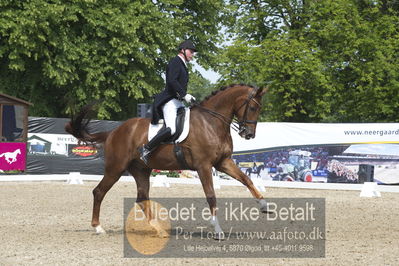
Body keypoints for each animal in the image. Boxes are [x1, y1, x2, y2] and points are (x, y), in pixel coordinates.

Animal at [65, 83, 268, 237]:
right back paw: (98, 227)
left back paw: (159, 230)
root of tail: (114, 132)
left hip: (141, 170)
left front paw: (264, 205)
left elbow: (247, 179)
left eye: (259, 108)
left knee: (142, 198)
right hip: (115, 168)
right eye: (252, 107)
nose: (248, 134)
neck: (211, 123)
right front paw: (217, 230)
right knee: (99, 192)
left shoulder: (223, 162)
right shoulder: (203, 166)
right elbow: (211, 196)